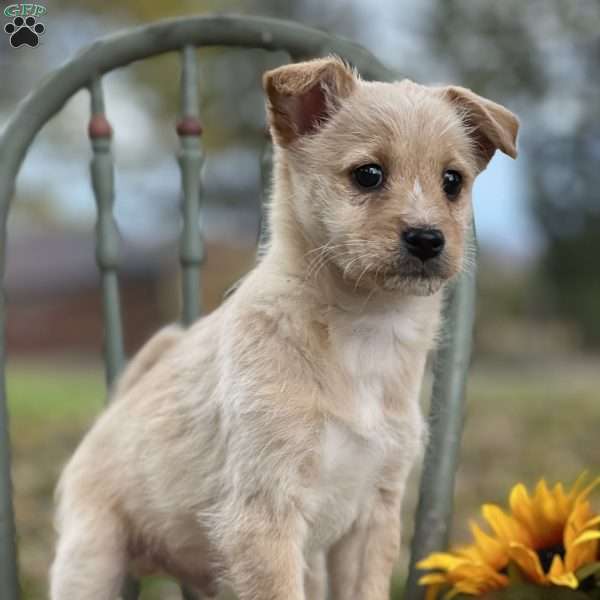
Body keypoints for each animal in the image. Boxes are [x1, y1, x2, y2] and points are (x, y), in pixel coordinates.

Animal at [50, 57, 516, 600]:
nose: (427, 239)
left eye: (452, 181)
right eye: (369, 174)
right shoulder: (266, 512)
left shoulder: (372, 516)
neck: (363, 327)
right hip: (94, 560)